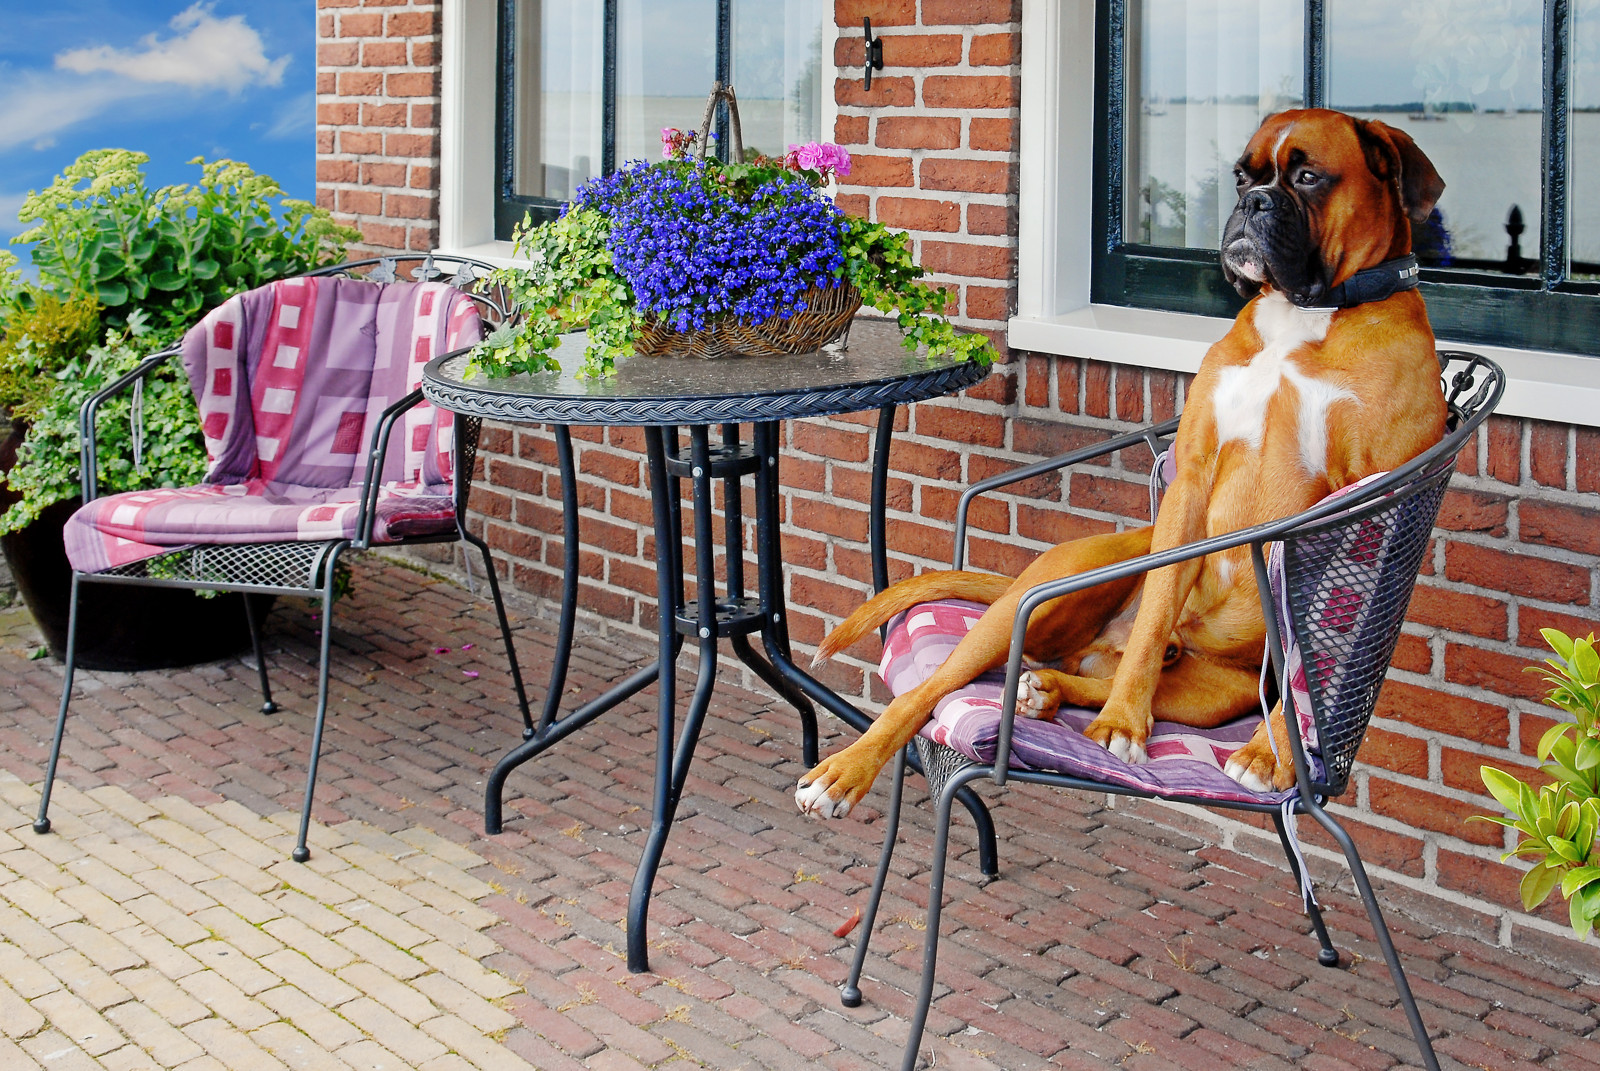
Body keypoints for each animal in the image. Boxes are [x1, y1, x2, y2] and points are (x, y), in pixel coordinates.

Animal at [796, 108, 1452, 813]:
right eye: (1242, 176)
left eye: (1308, 177)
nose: (1252, 202)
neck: (1307, 314)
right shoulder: (1194, 474)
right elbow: (1158, 610)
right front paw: (1120, 727)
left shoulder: (1366, 511)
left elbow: (1312, 665)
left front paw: (1264, 752)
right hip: (1023, 610)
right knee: (932, 689)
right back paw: (846, 771)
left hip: (1214, 693)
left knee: (1102, 678)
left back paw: (1050, 692)